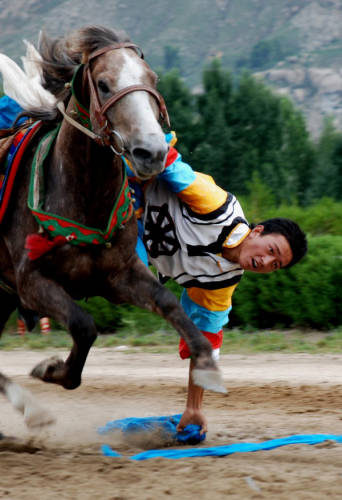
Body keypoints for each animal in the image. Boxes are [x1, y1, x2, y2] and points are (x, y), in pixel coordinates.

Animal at [0, 25, 224, 428]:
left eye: (153, 79)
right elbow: (84, 325)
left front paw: (205, 364)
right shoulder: (31, 282)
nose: (151, 152)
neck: (82, 195)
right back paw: (30, 406)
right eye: (104, 84)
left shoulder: (118, 275)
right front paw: (51, 369)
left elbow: (168, 302)